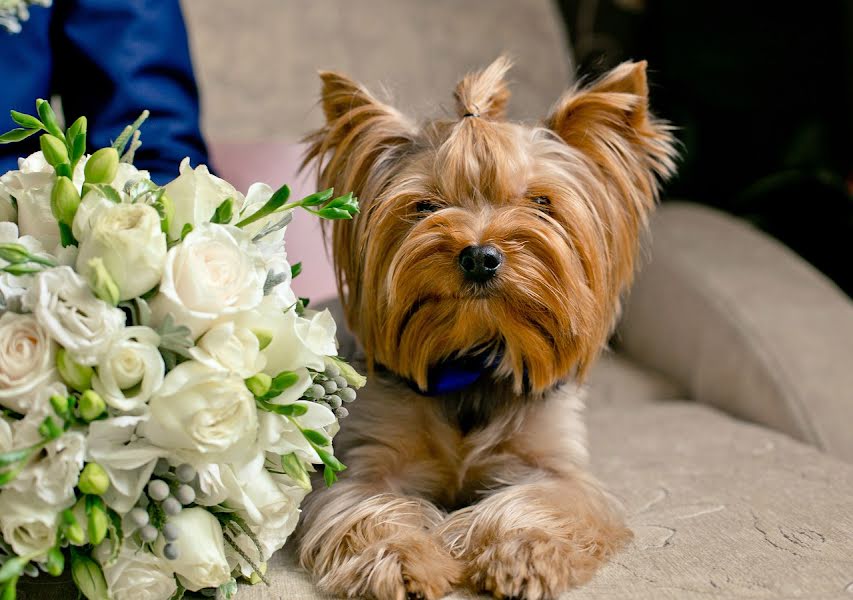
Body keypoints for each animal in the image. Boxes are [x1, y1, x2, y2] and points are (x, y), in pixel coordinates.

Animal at [296, 57, 676, 600]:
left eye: (541, 202)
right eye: (425, 207)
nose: (479, 256)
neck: (473, 356)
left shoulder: (556, 466)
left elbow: (543, 500)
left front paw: (523, 553)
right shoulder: (369, 464)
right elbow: (369, 507)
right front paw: (403, 560)